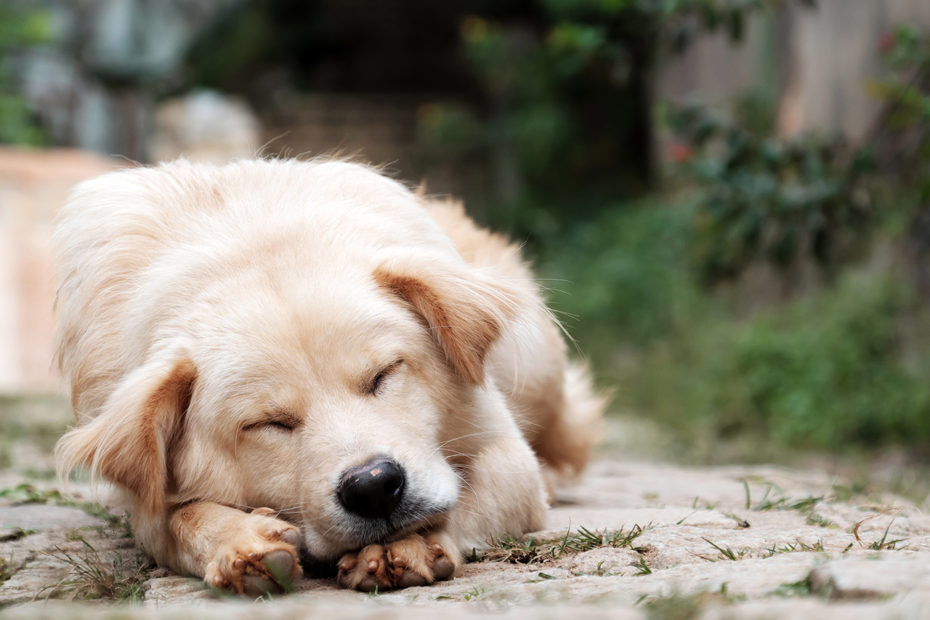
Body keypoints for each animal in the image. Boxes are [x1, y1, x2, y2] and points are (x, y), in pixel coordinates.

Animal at [54, 160, 600, 596]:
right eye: (271, 423)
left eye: (382, 375)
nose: (374, 487)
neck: (248, 243)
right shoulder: (144, 503)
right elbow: (180, 517)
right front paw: (238, 541)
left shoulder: (504, 450)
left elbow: (472, 493)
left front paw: (415, 540)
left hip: (534, 367)